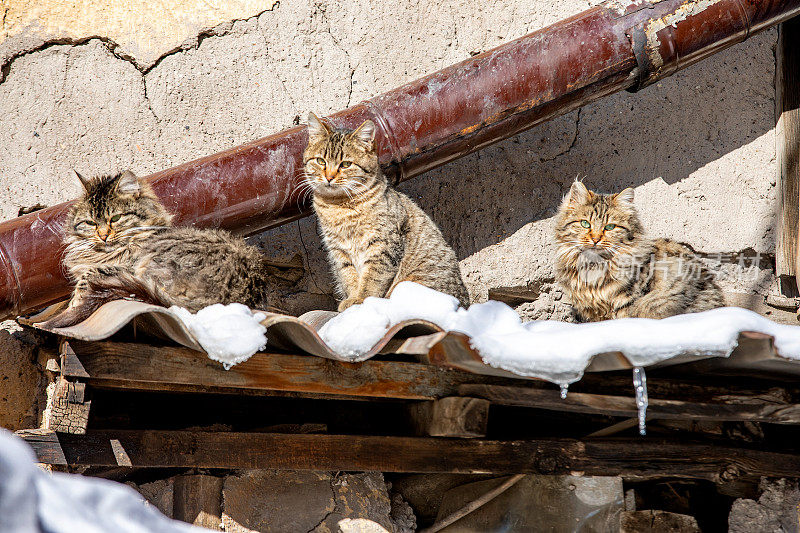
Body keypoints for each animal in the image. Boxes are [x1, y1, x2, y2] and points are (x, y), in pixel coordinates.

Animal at [44, 170, 276, 328]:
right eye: (91, 223)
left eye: (116, 218)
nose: (103, 235)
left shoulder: (124, 267)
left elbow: (86, 279)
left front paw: (75, 302)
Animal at [304, 113, 468, 312]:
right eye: (321, 161)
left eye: (346, 164)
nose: (328, 177)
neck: (338, 205)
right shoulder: (338, 250)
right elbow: (348, 276)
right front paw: (352, 299)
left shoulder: (383, 244)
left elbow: (373, 278)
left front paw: (361, 299)